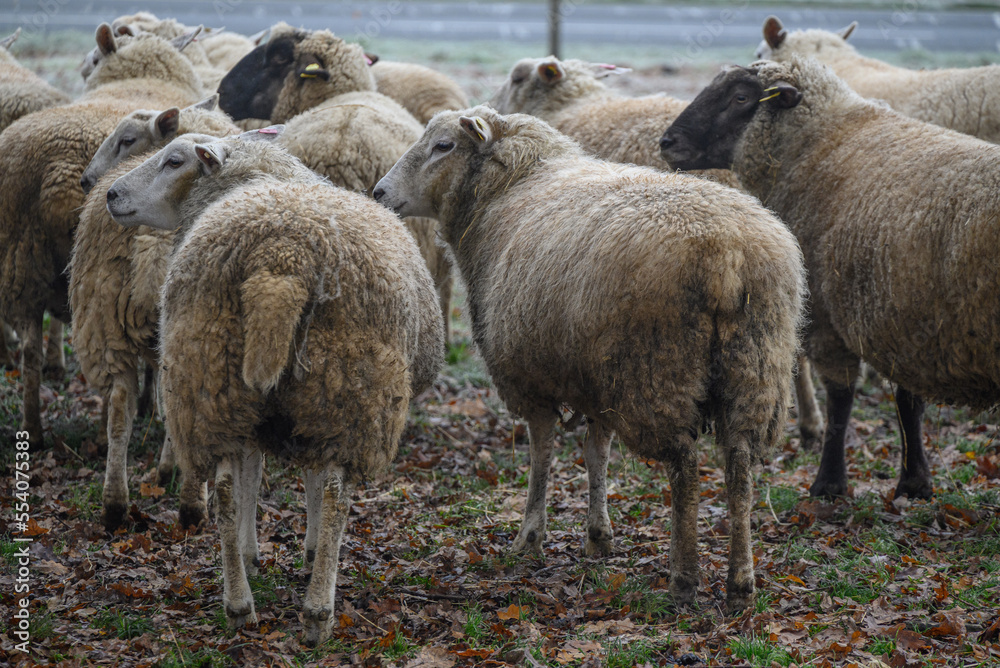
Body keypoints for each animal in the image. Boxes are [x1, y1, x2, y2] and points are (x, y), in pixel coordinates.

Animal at [0, 23, 204, 448]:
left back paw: (34, 428)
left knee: (31, 351)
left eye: (93, 58)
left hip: (24, 261)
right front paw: (151, 407)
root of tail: (59, 174)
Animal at [71, 97, 238, 531]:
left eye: (127, 140)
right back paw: (193, 505)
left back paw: (115, 504)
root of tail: (151, 242)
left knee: (119, 409)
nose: (88, 182)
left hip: (104, 319)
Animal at [106, 129, 443, 645]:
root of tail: (280, 260)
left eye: (174, 161)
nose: (110, 194)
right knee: (337, 494)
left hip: (211, 377)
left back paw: (239, 605)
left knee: (224, 490)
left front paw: (253, 553)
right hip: (349, 389)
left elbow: (252, 474)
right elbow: (307, 479)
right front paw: (307, 550)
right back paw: (318, 612)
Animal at [374, 106, 804, 611]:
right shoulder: (597, 377)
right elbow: (596, 451)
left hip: (657, 368)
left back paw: (684, 576)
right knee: (739, 466)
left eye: (444, 146)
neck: (510, 185)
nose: (379, 193)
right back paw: (741, 581)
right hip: (753, 366)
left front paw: (530, 536)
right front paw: (599, 535)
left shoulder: (530, 378)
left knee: (685, 469)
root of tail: (729, 258)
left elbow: (542, 454)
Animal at [660, 56, 1000, 500]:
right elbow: (909, 402)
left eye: (741, 98)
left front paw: (829, 483)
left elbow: (841, 401)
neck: (821, 139)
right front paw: (915, 482)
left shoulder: (830, 315)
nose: (667, 142)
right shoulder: (904, 314)